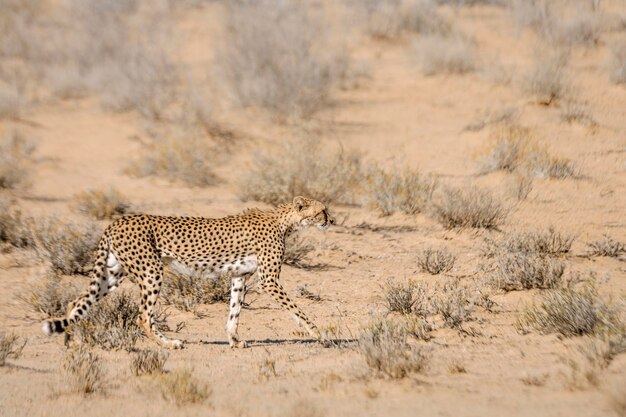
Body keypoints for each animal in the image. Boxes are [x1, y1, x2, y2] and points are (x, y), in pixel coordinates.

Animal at [42, 195, 334, 348]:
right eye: (323, 210)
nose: (332, 220)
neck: (284, 221)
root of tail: (118, 221)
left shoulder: (240, 277)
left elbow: (234, 312)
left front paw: (234, 340)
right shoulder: (269, 281)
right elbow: (296, 310)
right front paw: (318, 332)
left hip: (113, 273)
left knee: (76, 302)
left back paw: (71, 341)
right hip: (151, 271)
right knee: (143, 317)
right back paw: (168, 343)